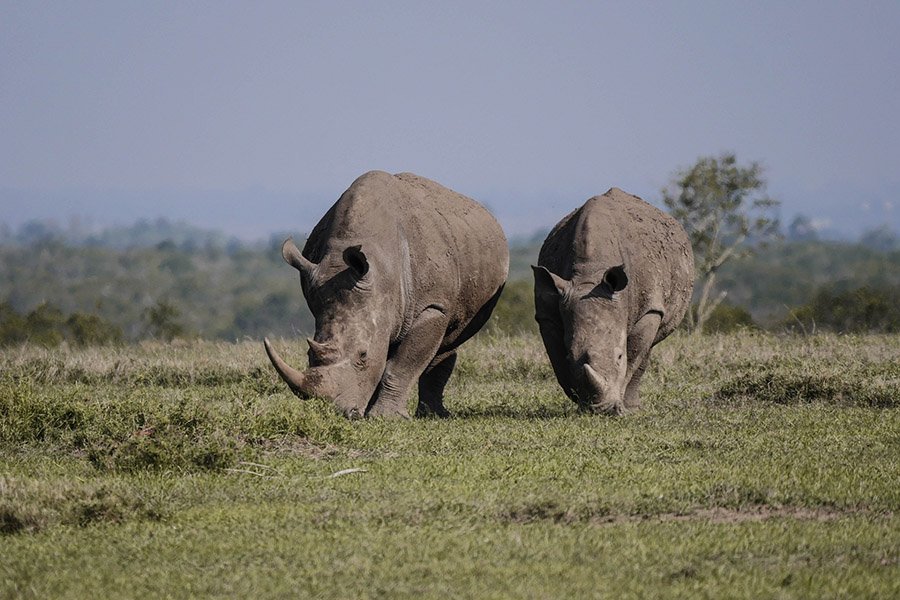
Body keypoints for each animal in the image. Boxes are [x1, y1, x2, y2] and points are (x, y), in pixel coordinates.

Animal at [265, 170, 509, 419]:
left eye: (363, 355)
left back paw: (433, 415)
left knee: (448, 341)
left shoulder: (432, 307)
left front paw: (385, 417)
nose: (344, 413)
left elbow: (402, 364)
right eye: (308, 354)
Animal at [532, 188, 693, 414]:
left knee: (648, 347)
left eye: (619, 357)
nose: (601, 410)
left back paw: (633, 407)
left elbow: (633, 355)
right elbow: (557, 360)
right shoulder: (548, 313)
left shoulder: (649, 308)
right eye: (570, 356)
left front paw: (620, 407)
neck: (590, 275)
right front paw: (578, 400)